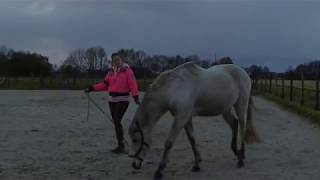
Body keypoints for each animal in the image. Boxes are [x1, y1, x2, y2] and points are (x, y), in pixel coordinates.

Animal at [128, 61, 260, 179]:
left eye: (135, 140)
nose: (134, 164)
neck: (174, 87)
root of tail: (243, 72)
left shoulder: (181, 118)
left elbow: (169, 143)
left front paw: (159, 170)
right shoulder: (186, 118)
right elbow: (192, 140)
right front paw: (197, 164)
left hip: (241, 105)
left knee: (242, 127)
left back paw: (241, 159)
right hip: (225, 109)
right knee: (234, 124)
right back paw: (237, 153)